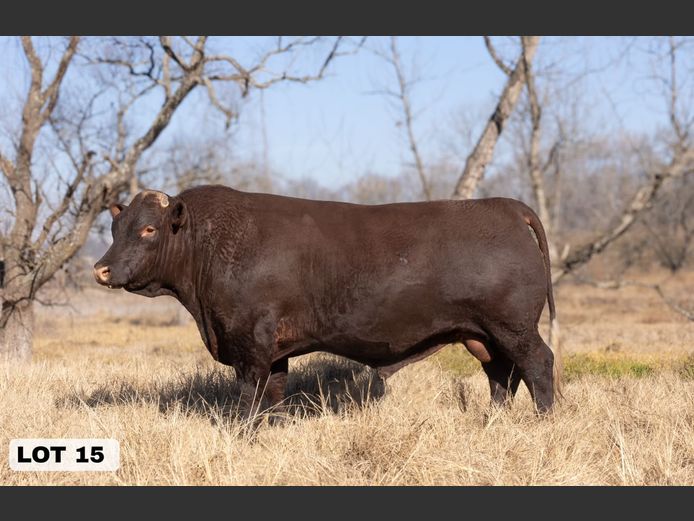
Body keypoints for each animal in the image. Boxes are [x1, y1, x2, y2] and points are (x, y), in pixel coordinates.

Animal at [94, 185, 560, 416]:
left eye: (149, 229)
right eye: (116, 228)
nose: (102, 269)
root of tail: (505, 206)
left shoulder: (250, 344)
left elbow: (248, 398)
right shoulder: (275, 351)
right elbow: (273, 397)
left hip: (515, 327)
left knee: (537, 365)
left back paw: (543, 421)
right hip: (483, 335)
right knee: (500, 375)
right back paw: (493, 421)